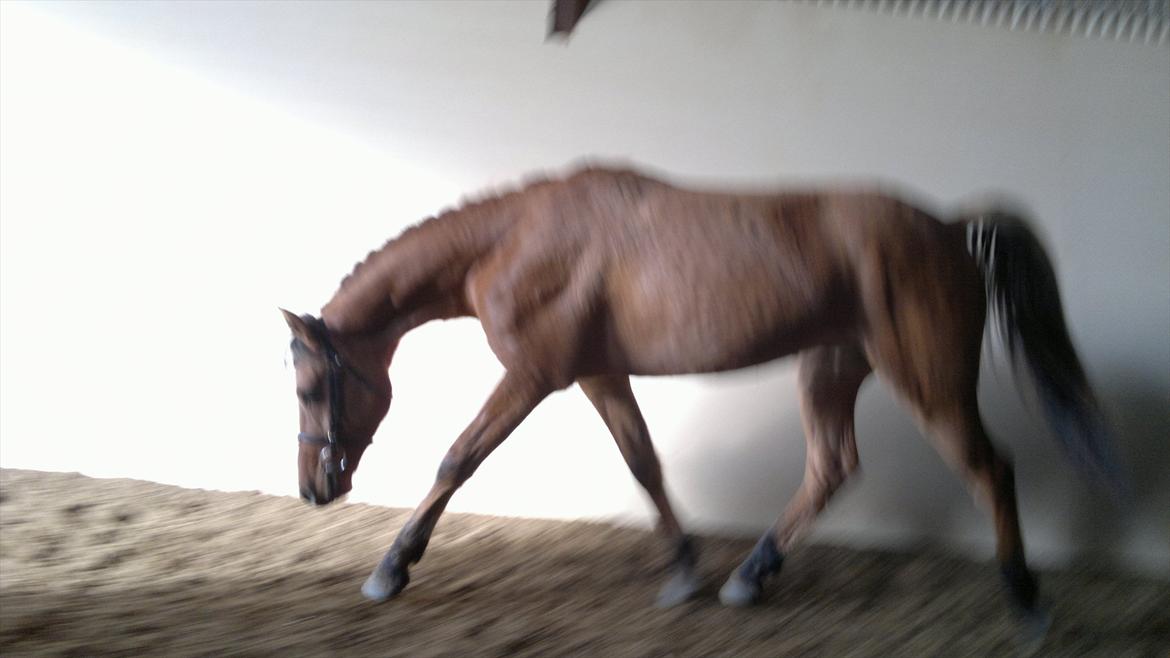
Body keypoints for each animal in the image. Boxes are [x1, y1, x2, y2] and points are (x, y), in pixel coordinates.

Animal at [281, 164, 1122, 624]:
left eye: (312, 383)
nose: (315, 488)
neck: (515, 241)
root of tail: (948, 229)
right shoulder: (598, 374)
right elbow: (645, 465)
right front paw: (685, 570)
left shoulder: (534, 376)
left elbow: (458, 459)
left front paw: (392, 568)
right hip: (830, 368)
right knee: (832, 467)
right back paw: (749, 577)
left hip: (928, 380)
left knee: (988, 469)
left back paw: (1025, 602)